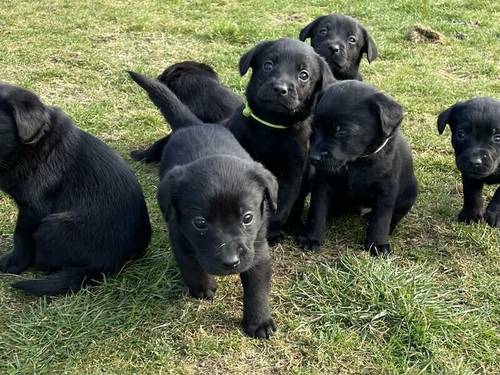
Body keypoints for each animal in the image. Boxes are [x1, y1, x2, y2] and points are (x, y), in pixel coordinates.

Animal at [128, 71, 278, 340]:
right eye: (200, 223)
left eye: (248, 218)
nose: (230, 262)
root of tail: (192, 124)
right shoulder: (179, 235)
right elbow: (190, 266)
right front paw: (203, 287)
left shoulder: (258, 248)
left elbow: (257, 288)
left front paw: (259, 321)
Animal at [300, 81, 418, 258]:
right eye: (314, 127)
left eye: (341, 130)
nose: (313, 157)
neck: (357, 163)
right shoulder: (322, 183)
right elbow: (317, 211)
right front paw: (311, 237)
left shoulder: (386, 190)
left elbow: (381, 220)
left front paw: (378, 244)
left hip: (409, 195)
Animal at [438, 97, 500, 228]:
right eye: (461, 134)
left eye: (498, 138)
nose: (475, 162)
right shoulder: (469, 175)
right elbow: (472, 194)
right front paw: (470, 215)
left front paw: (495, 215)